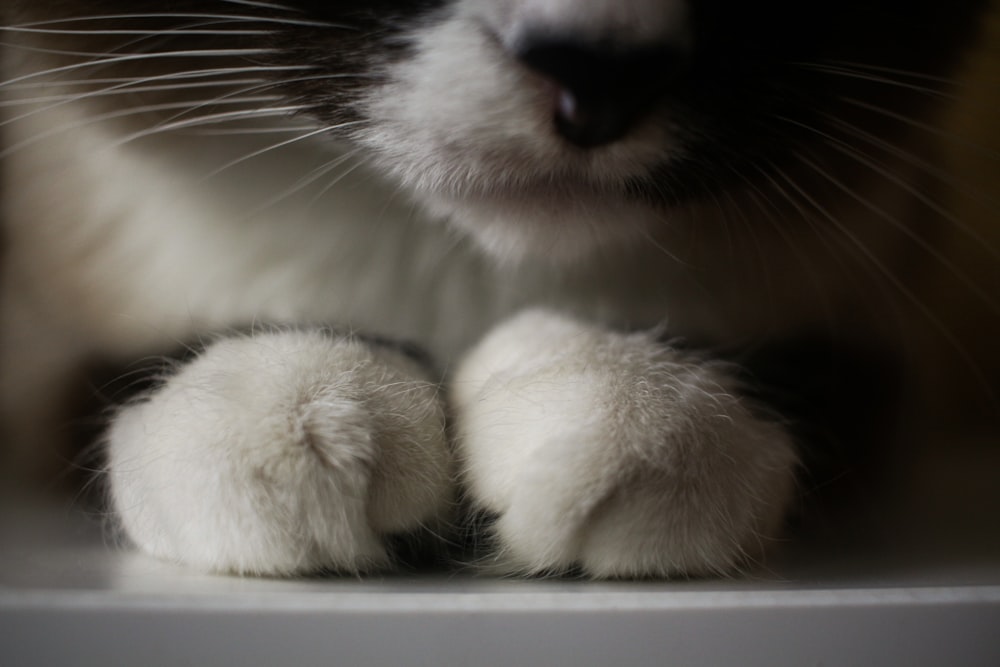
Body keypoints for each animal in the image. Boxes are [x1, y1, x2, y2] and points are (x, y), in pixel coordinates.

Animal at [0, 0, 996, 576]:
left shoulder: (892, 338)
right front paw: (284, 407)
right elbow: (98, 388)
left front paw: (625, 405)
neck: (466, 264)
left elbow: (812, 382)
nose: (599, 67)